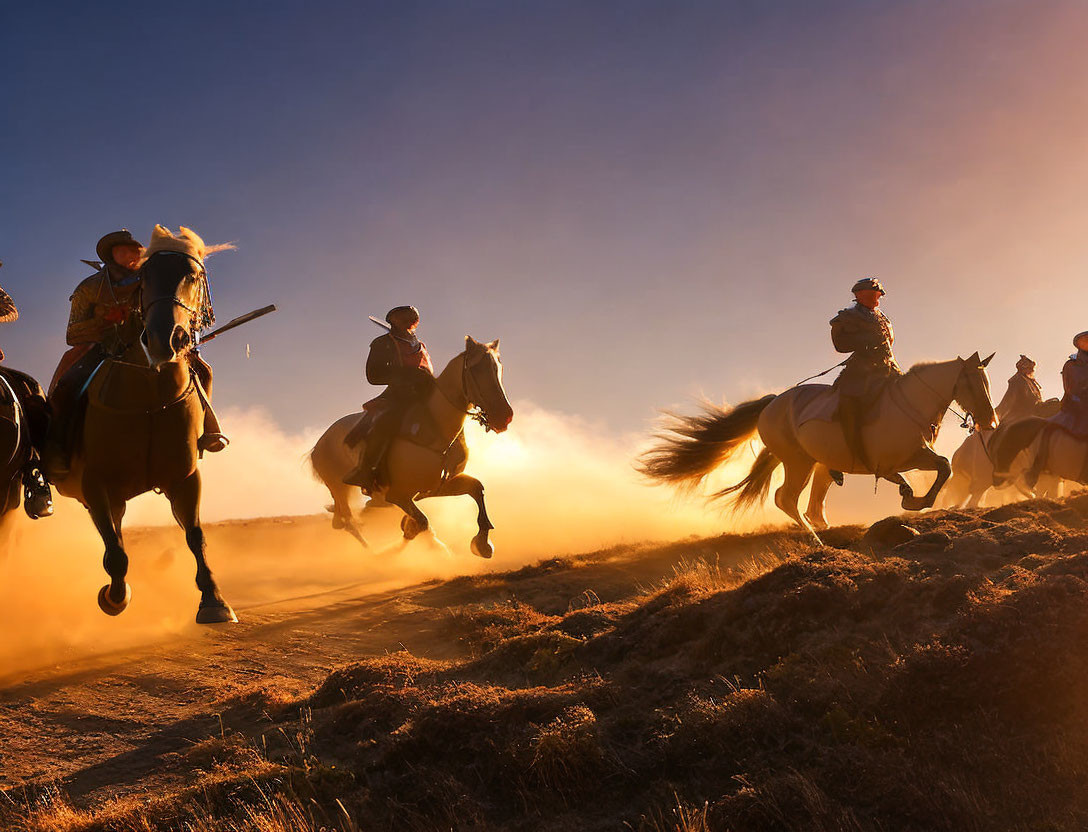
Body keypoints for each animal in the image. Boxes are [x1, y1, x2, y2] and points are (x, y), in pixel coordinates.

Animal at [47, 227, 236, 622]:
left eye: (191, 275)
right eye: (145, 278)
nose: (166, 339)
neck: (148, 396)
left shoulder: (185, 477)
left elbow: (195, 536)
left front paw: (213, 600)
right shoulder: (96, 485)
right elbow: (116, 554)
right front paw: (114, 598)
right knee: (112, 540)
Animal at [306, 334, 509, 554]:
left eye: (499, 368)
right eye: (476, 368)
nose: (504, 416)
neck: (436, 425)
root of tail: (317, 447)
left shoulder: (436, 487)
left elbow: (477, 488)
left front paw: (482, 542)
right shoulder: (398, 495)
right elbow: (421, 523)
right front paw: (438, 548)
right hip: (339, 488)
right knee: (346, 521)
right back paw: (372, 553)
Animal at [639, 352, 996, 539]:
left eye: (987, 383)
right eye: (974, 383)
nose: (990, 421)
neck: (910, 402)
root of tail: (771, 405)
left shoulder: (903, 460)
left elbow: (940, 468)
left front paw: (911, 496)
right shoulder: (904, 458)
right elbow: (942, 466)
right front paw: (916, 501)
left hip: (816, 463)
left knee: (811, 504)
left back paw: (821, 530)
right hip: (797, 462)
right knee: (786, 499)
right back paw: (815, 541)